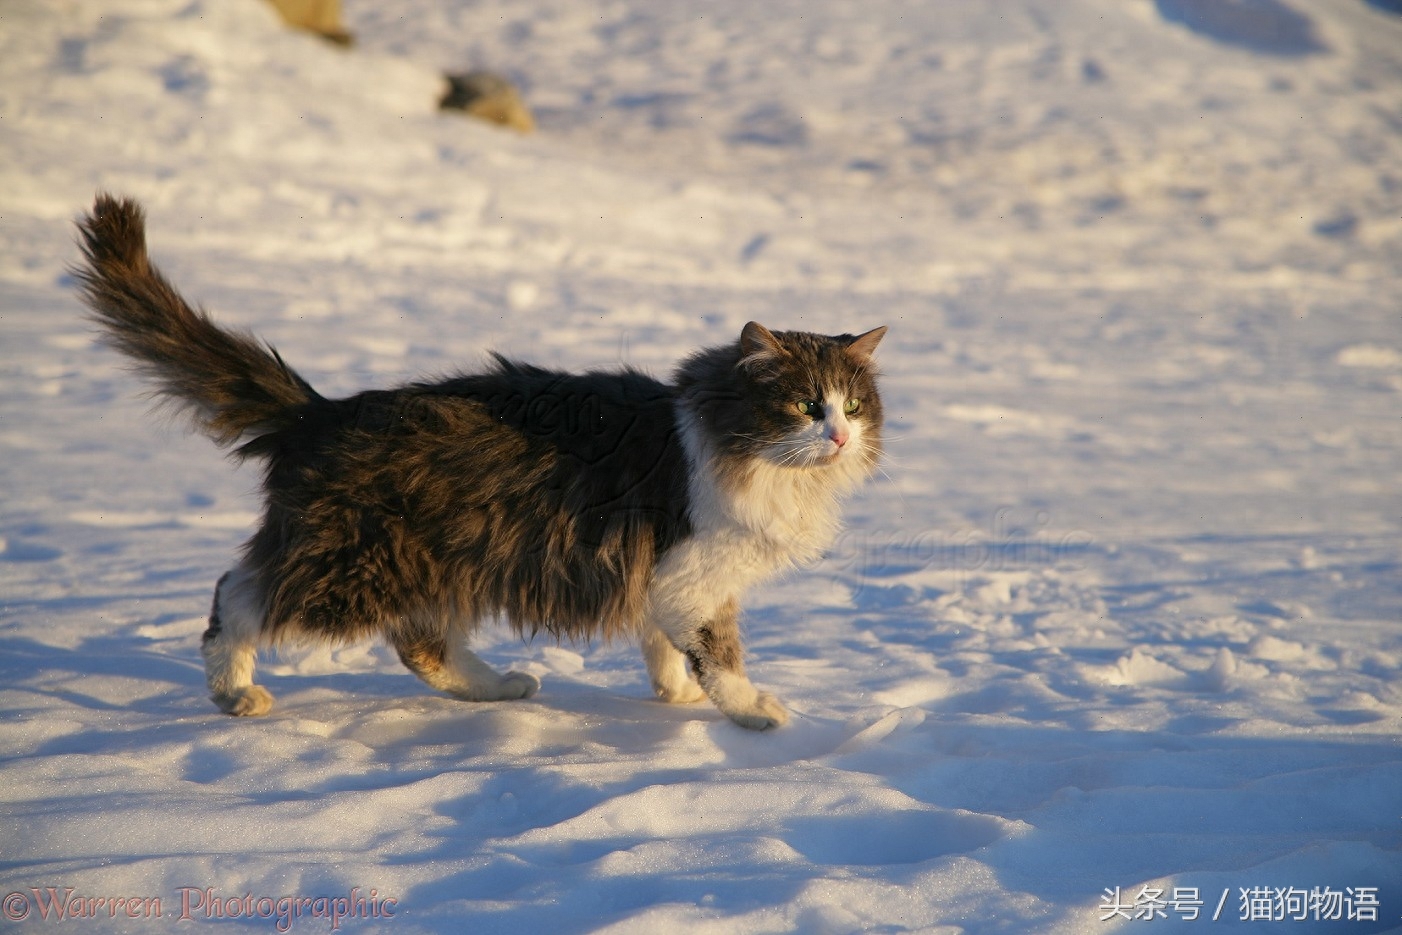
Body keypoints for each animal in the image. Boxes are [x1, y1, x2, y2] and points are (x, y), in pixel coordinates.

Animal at [73, 192, 886, 728]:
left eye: (853, 406)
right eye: (805, 406)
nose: (839, 437)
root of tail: (323, 410)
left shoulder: (667, 577)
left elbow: (661, 641)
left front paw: (675, 695)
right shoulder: (693, 570)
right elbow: (720, 653)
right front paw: (754, 711)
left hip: (426, 561)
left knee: (421, 643)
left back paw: (501, 687)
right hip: (352, 563)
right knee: (237, 594)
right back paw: (234, 692)